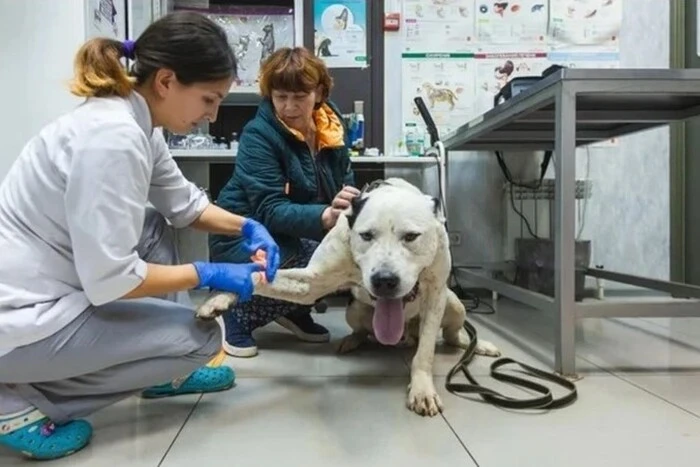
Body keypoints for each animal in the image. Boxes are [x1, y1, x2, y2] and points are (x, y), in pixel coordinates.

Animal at [197, 179, 500, 416]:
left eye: (411, 236)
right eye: (366, 235)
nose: (384, 280)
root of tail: (404, 337)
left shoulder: (436, 291)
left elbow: (425, 351)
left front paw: (422, 389)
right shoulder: (311, 283)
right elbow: (260, 278)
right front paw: (221, 296)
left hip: (454, 305)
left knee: (450, 335)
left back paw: (477, 344)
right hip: (354, 310)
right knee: (364, 330)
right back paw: (352, 341)